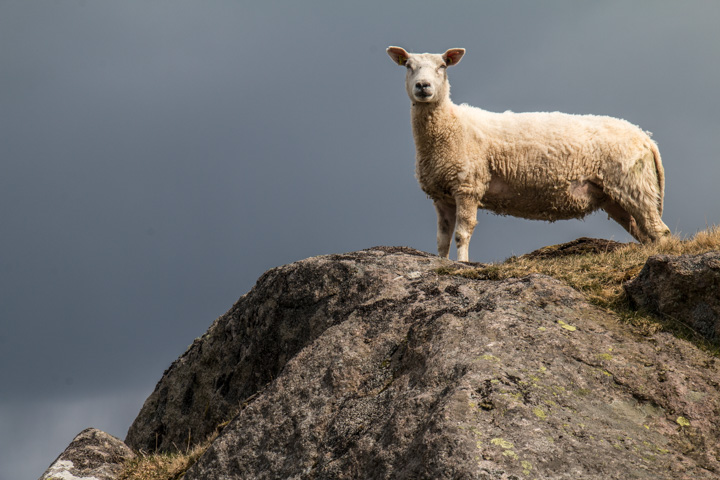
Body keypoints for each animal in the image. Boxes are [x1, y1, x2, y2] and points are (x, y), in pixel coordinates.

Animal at [386, 45, 672, 260]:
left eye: (442, 66)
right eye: (408, 66)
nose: (423, 86)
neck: (451, 125)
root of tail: (646, 138)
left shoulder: (468, 185)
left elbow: (462, 233)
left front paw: (463, 264)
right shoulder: (442, 193)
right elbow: (442, 239)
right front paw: (442, 262)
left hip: (634, 184)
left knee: (660, 231)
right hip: (615, 196)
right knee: (645, 233)